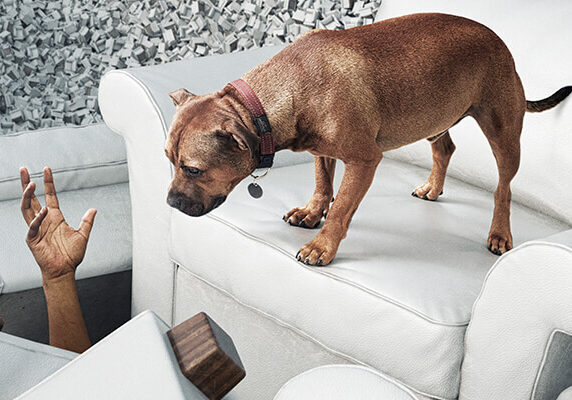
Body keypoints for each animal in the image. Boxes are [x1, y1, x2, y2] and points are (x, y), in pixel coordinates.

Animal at [163, 13, 568, 266]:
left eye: (193, 169)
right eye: (168, 160)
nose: (169, 203)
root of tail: (499, 39)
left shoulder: (364, 160)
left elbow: (341, 206)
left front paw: (322, 246)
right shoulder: (321, 150)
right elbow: (323, 184)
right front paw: (312, 212)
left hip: (503, 133)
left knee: (504, 188)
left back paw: (499, 232)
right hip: (433, 116)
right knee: (445, 149)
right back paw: (433, 187)